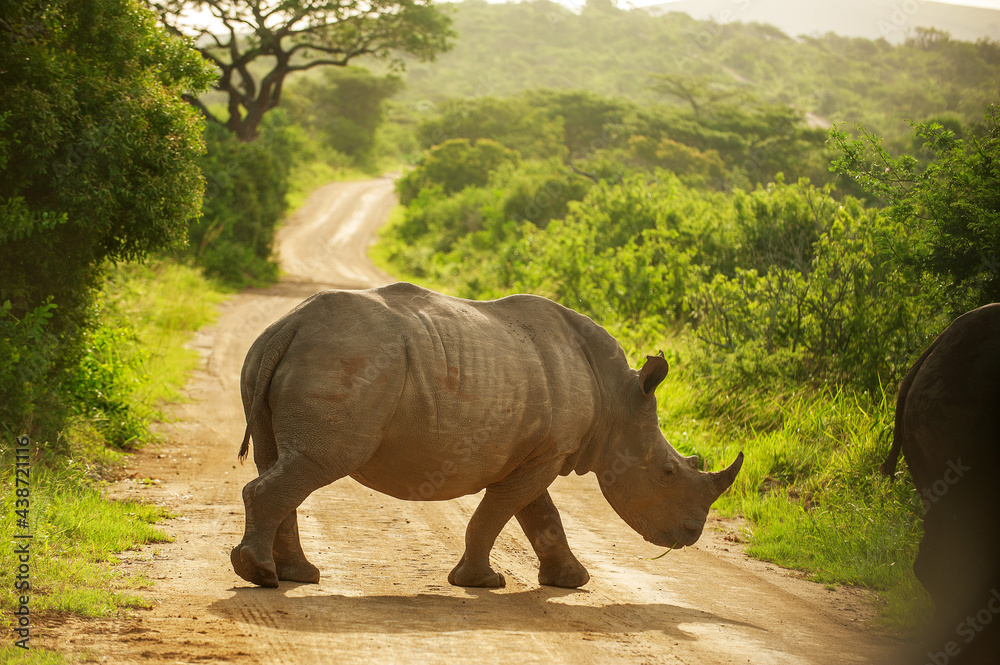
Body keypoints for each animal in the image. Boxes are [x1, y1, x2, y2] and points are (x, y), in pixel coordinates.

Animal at [231, 282, 743, 589]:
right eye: (667, 471)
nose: (691, 534)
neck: (617, 398)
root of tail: (290, 324)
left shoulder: (538, 450)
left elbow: (540, 515)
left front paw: (572, 582)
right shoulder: (548, 454)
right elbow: (501, 511)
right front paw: (482, 583)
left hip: (270, 357)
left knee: (285, 462)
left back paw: (296, 576)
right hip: (348, 363)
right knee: (315, 462)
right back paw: (261, 575)